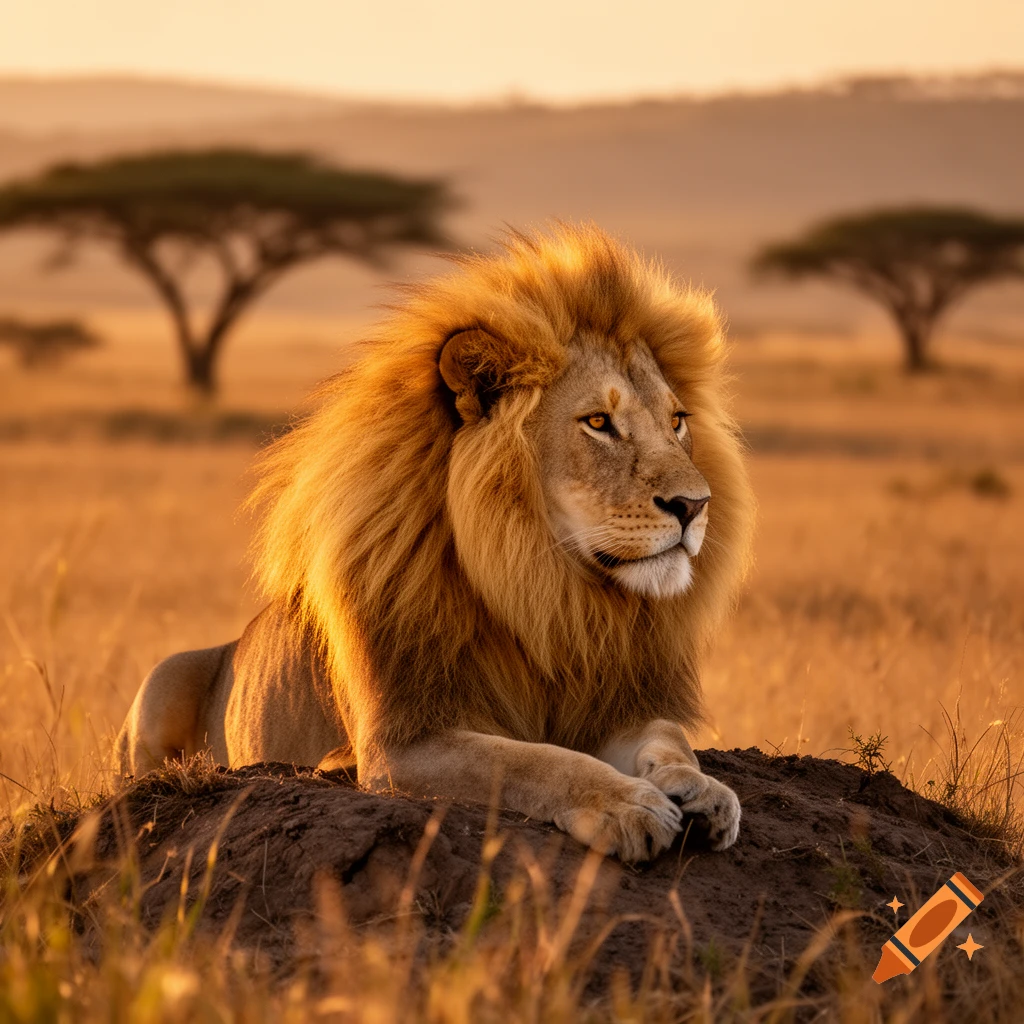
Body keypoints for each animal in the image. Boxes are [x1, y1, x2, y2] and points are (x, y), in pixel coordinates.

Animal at [115, 224, 755, 862]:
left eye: (676, 421)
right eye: (598, 422)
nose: (695, 505)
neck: (543, 586)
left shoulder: (614, 704)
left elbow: (668, 740)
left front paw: (701, 791)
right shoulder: (403, 743)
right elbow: (532, 762)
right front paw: (626, 804)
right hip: (163, 680)